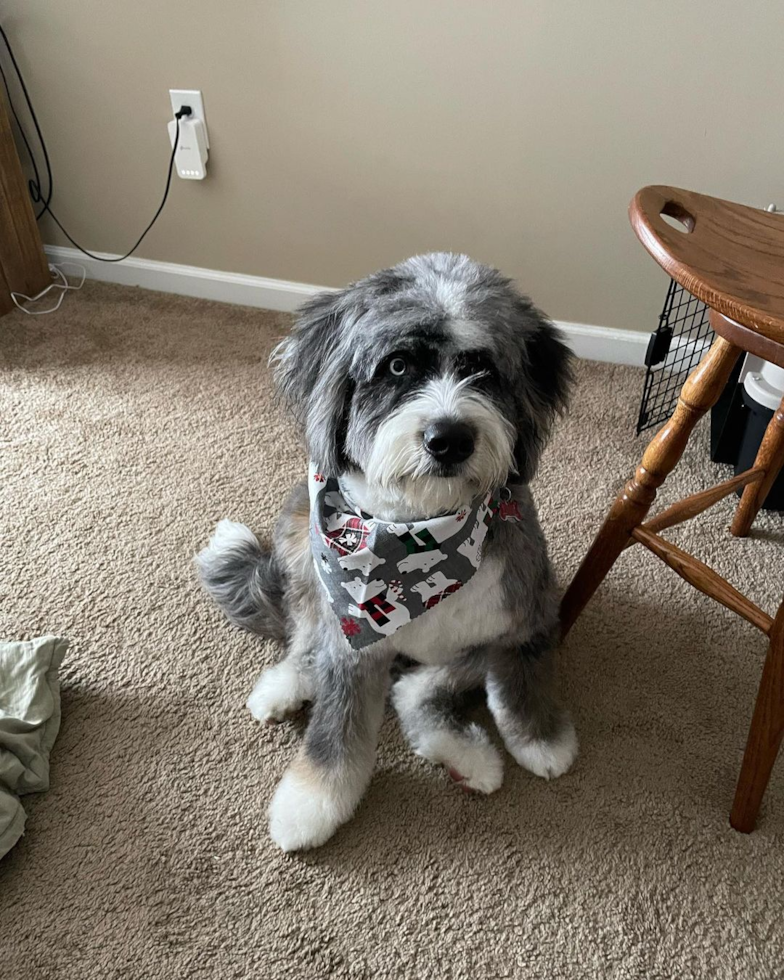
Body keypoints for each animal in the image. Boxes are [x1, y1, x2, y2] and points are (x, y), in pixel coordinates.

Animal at [196, 251, 576, 848]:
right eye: (398, 367)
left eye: (484, 369)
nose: (449, 439)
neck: (420, 538)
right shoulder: (352, 645)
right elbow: (337, 731)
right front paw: (310, 804)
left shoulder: (524, 617)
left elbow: (518, 683)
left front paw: (539, 741)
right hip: (302, 549)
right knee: (304, 635)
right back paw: (285, 685)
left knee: (411, 687)